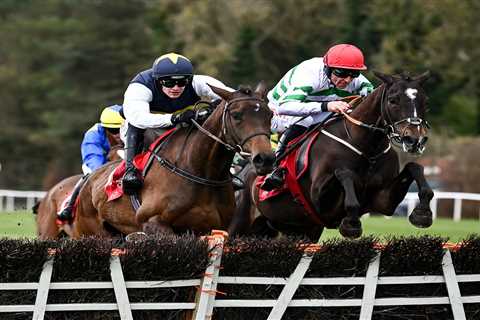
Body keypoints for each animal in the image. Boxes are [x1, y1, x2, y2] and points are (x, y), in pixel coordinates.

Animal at [232, 71, 436, 241]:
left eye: (426, 101)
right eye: (393, 100)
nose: (414, 139)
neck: (365, 146)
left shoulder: (383, 201)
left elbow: (414, 167)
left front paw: (422, 213)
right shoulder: (319, 201)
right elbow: (345, 174)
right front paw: (351, 223)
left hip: (296, 230)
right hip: (238, 227)